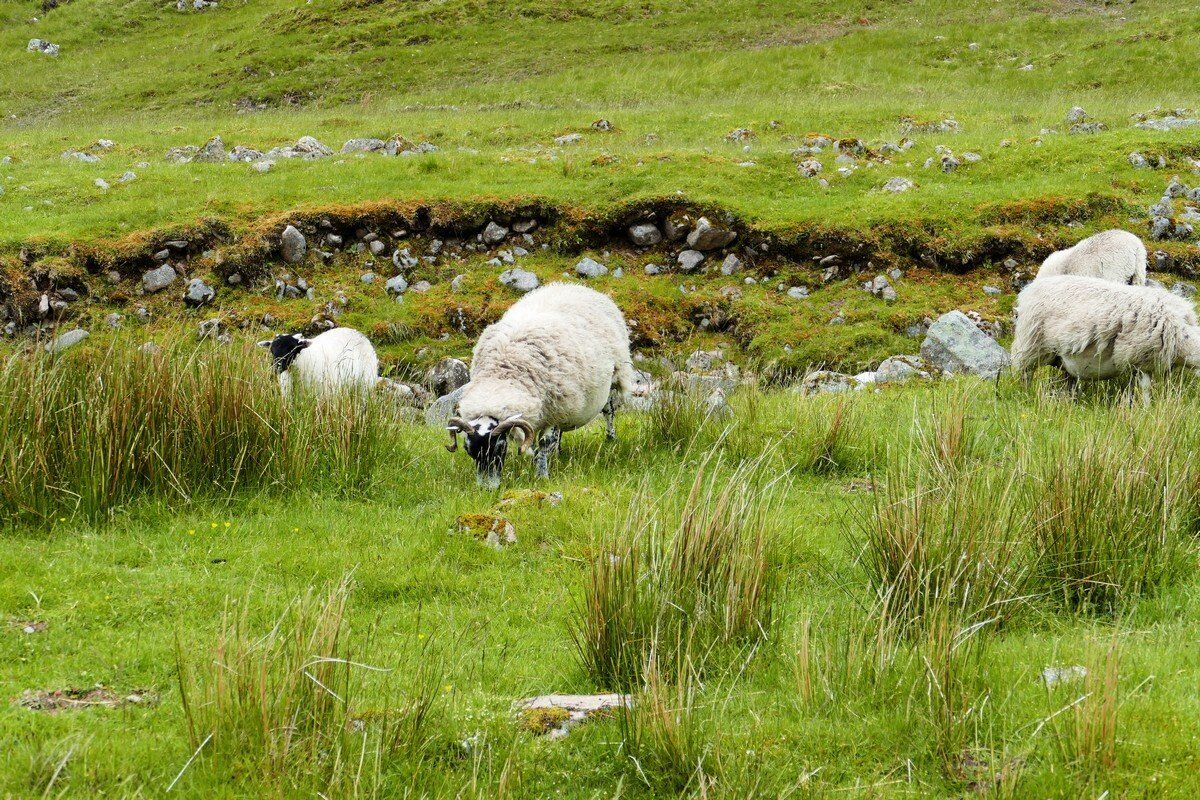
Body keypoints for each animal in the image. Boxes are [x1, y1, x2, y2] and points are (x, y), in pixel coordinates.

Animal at [446, 282, 634, 488]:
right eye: (468, 449)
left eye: (500, 447)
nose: (487, 489)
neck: (500, 379)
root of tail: (575, 286)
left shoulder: (553, 411)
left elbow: (543, 443)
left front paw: (541, 474)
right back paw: (557, 452)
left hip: (612, 377)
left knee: (609, 411)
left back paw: (610, 438)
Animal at [1011, 275, 1200, 399]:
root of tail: (1029, 289)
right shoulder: (1141, 359)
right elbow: (1145, 388)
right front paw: (1146, 409)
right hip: (1030, 344)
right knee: (1025, 372)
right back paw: (1025, 394)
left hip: (1059, 357)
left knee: (1068, 379)